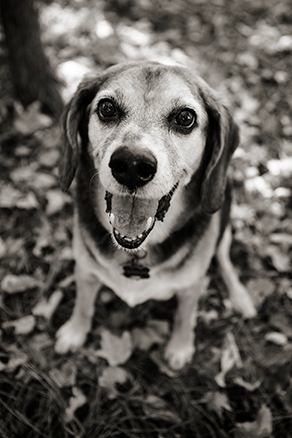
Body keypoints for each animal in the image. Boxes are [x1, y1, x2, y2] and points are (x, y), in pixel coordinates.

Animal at [54, 60, 256, 370]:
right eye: (107, 108)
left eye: (185, 117)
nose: (132, 165)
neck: (137, 251)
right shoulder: (86, 271)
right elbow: (83, 305)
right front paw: (75, 332)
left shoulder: (190, 287)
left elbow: (185, 316)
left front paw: (180, 348)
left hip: (224, 226)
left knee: (224, 262)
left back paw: (241, 298)